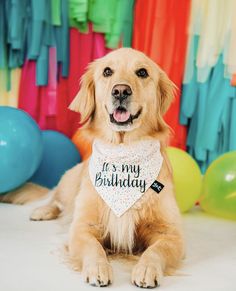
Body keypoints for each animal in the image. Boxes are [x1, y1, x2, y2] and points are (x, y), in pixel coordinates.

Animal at [2, 48, 186, 290]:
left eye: (142, 72)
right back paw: (42, 211)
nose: (120, 91)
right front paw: (99, 268)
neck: (123, 153)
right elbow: (93, 246)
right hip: (69, 180)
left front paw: (146, 268)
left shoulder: (170, 233)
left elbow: (157, 250)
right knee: (55, 200)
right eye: (107, 71)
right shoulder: (82, 227)